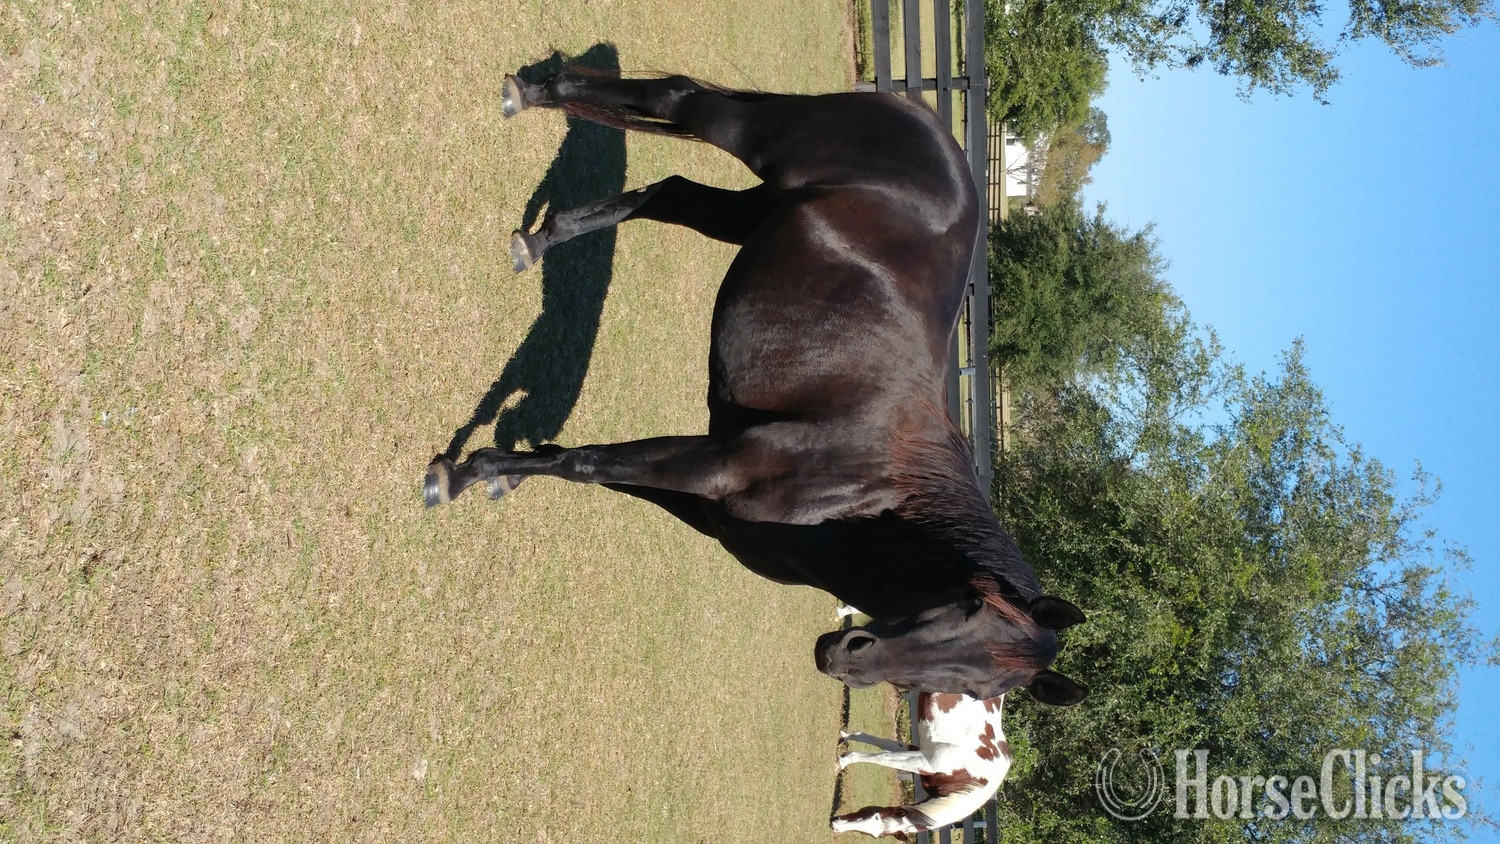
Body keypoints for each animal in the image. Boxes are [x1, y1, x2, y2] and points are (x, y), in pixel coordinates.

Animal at [424, 68, 1087, 704]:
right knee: (677, 99)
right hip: (752, 137)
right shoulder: (713, 463)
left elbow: (581, 464)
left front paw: (502, 470)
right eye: (970, 607)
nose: (847, 657)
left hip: (755, 213)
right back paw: (532, 93)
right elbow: (585, 465)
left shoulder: (699, 500)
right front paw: (459, 474)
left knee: (669, 194)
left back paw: (537, 238)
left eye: (980, 689)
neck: (863, 492)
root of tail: (929, 125)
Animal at [833, 692, 1012, 838]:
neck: (968, 776)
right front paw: (842, 761)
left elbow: (882, 747)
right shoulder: (923, 760)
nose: (835, 825)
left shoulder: (918, 754)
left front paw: (846, 738)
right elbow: (883, 757)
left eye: (876, 815)